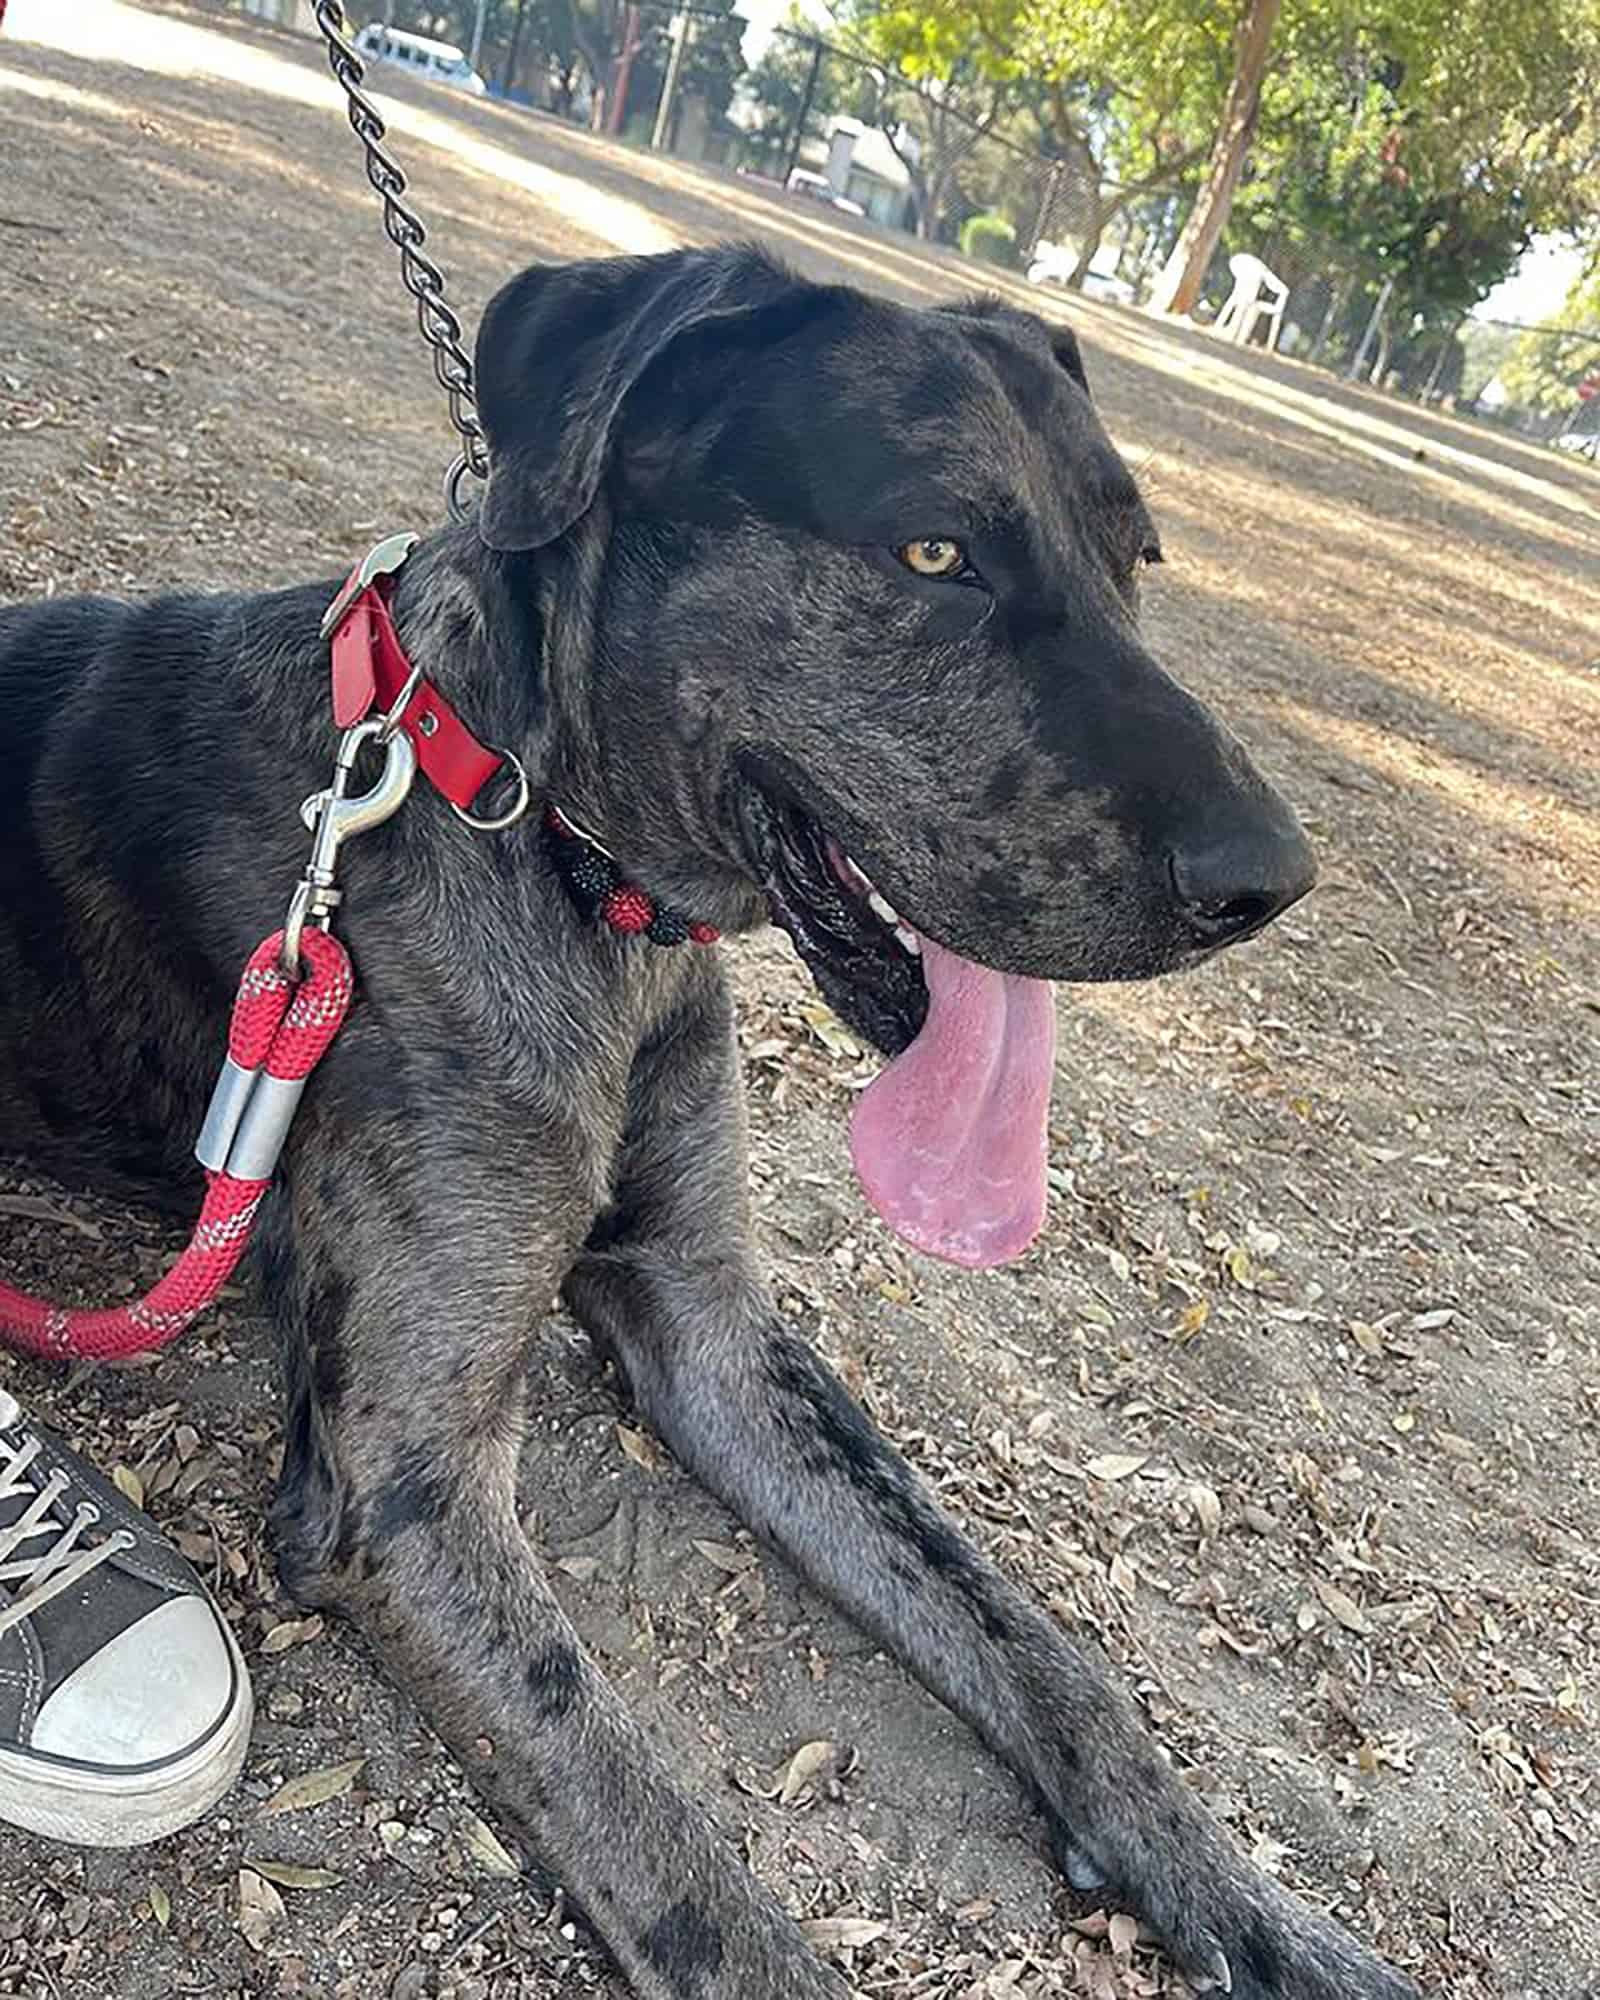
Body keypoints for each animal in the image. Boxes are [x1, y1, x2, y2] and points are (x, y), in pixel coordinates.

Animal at [0, 250, 1416, 2000]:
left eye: (1134, 559)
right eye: (933, 553)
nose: (1269, 882)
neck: (550, 846)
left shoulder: (714, 1333)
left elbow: (1039, 1646)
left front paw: (1257, 1912)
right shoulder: (402, 1489)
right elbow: (664, 1838)